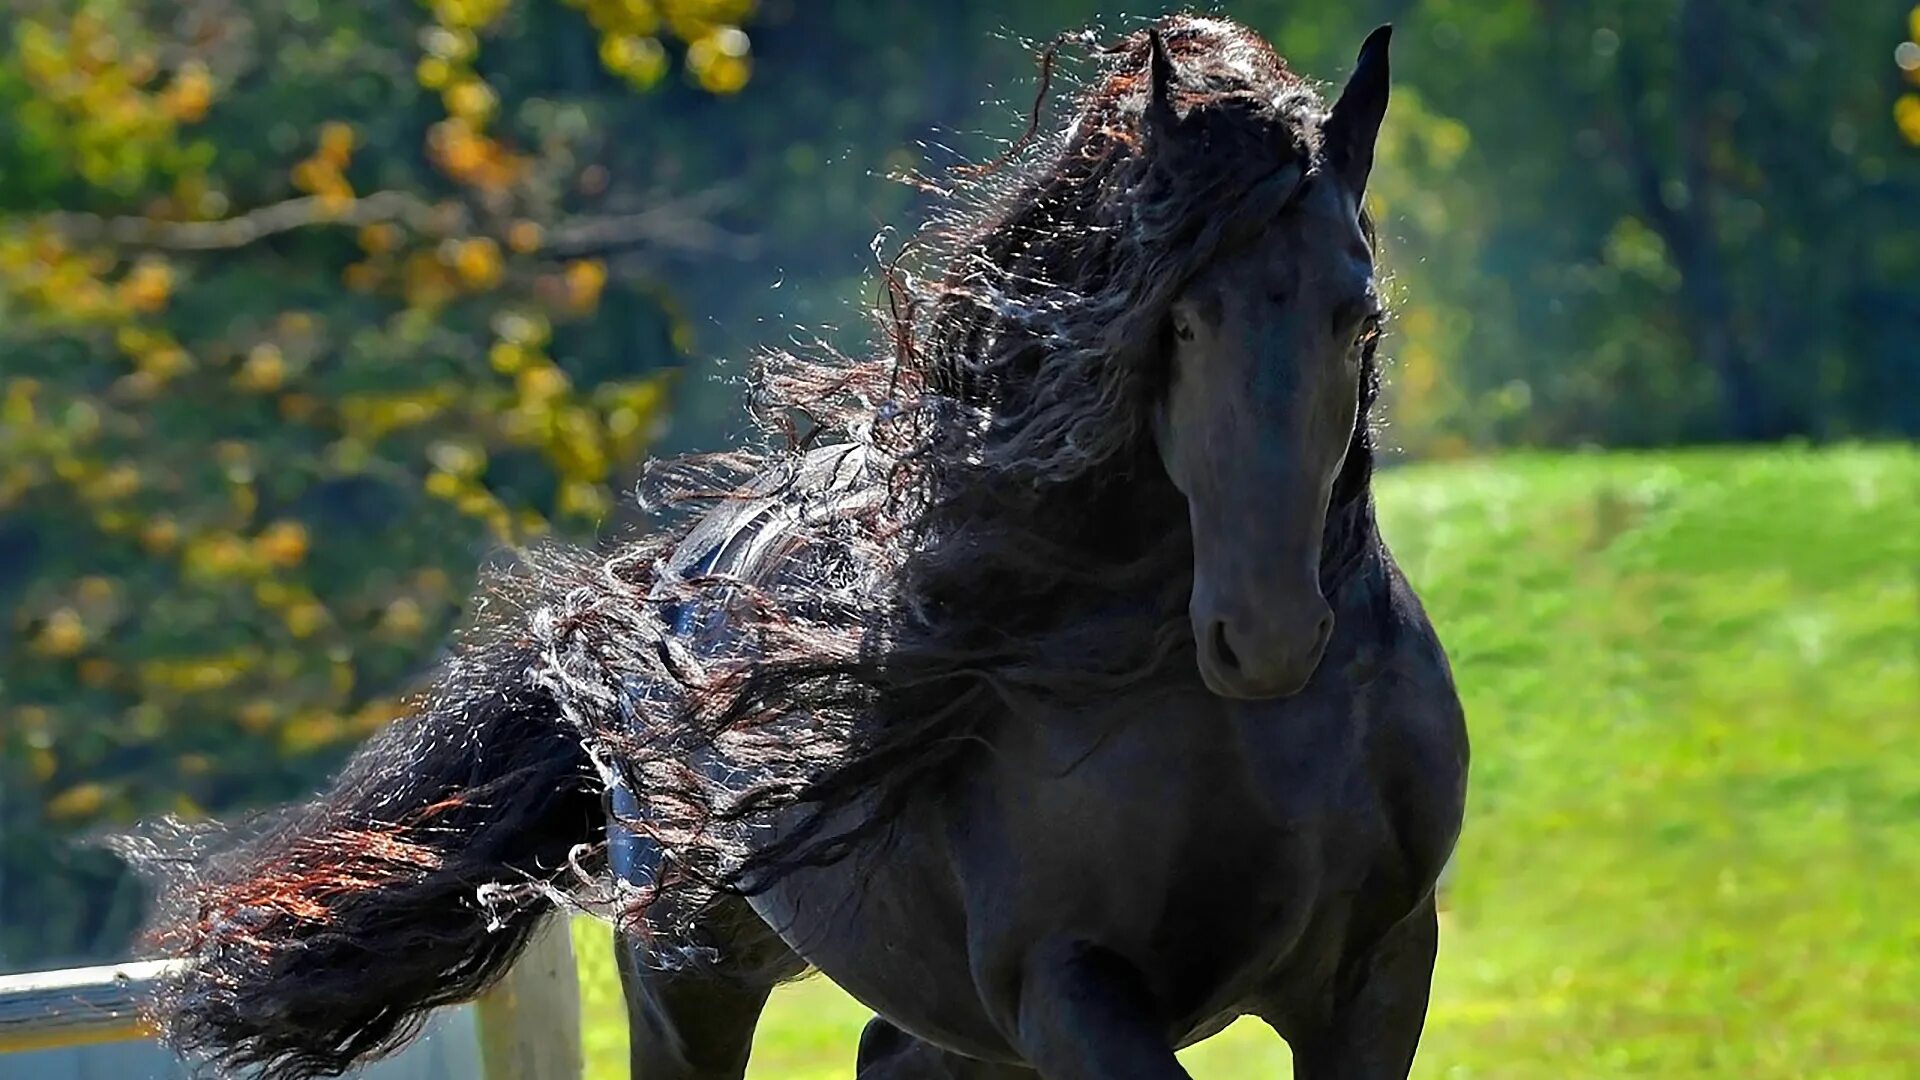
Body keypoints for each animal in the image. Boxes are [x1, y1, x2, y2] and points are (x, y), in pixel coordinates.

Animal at [120, 16, 1466, 1076]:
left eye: (1358, 315)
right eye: (1180, 320)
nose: (1267, 633)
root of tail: (659, 588)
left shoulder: (1376, 978)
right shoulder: (1070, 991)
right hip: (691, 978)